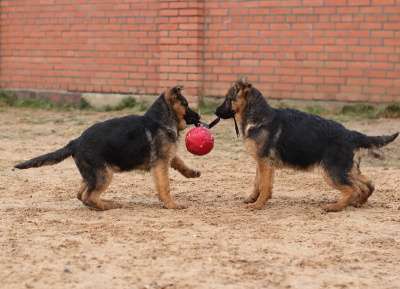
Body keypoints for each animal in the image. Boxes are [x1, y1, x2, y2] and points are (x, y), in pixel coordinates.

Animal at [14, 85, 203, 209]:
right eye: (186, 105)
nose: (199, 117)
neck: (160, 120)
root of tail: (76, 141)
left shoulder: (166, 156)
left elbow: (179, 162)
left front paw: (192, 173)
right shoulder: (160, 164)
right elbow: (165, 186)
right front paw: (171, 204)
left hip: (93, 174)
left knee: (81, 193)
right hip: (104, 174)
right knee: (89, 196)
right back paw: (110, 204)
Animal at [217, 78, 398, 212]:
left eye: (228, 99)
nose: (215, 112)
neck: (259, 117)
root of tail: (350, 134)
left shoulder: (264, 163)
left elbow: (264, 185)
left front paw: (258, 205)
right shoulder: (262, 164)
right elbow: (257, 183)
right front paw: (252, 199)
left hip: (331, 172)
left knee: (352, 188)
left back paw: (335, 207)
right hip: (345, 169)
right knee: (367, 184)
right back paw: (358, 202)